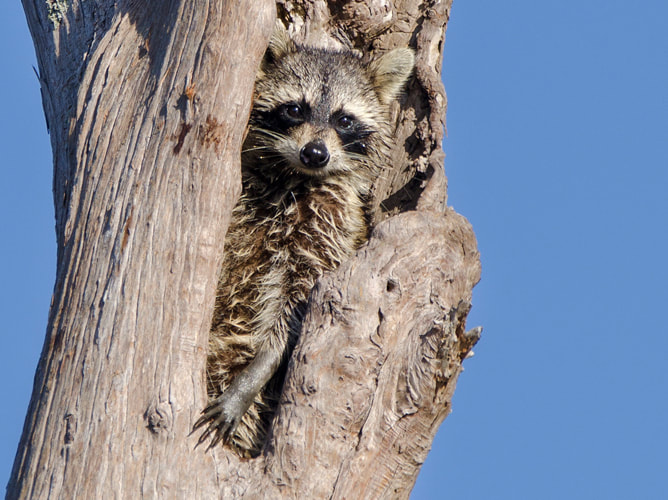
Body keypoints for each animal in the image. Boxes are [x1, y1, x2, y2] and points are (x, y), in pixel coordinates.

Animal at [194, 26, 412, 458]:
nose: (315, 153)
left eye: (344, 119)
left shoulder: (331, 233)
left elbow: (292, 316)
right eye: (295, 109)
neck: (296, 178)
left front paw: (252, 377)